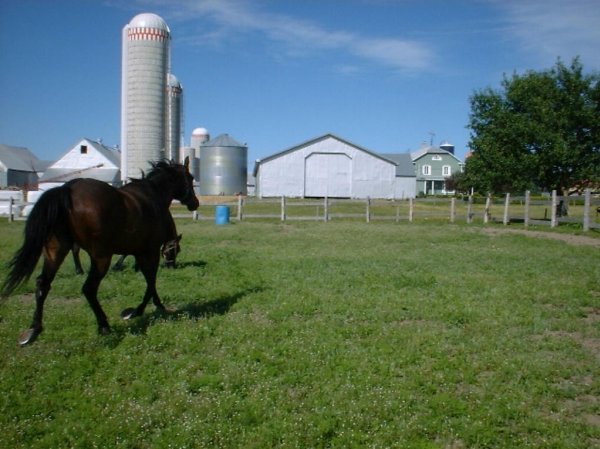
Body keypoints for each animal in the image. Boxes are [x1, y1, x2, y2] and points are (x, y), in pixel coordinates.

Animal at [0, 159, 199, 344]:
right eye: (190, 178)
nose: (195, 203)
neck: (152, 196)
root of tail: (67, 189)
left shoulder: (138, 252)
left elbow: (149, 280)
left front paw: (156, 305)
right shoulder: (149, 252)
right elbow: (151, 282)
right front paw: (135, 311)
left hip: (55, 252)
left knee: (43, 284)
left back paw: (33, 330)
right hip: (101, 257)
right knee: (88, 288)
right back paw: (103, 325)